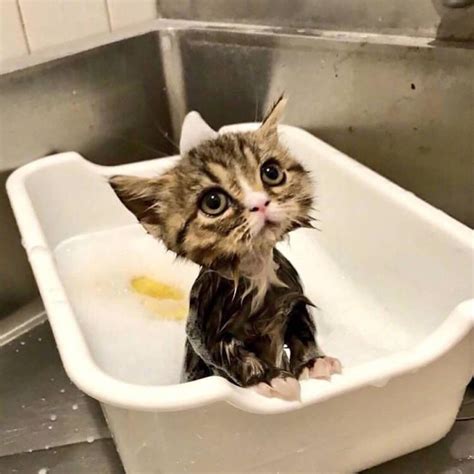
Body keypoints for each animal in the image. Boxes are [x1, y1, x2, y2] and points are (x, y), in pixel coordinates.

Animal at [110, 96, 340, 400]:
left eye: (271, 172)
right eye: (213, 202)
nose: (260, 203)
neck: (258, 274)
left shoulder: (293, 294)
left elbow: (303, 326)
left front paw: (313, 361)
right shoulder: (202, 324)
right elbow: (226, 353)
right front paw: (268, 377)